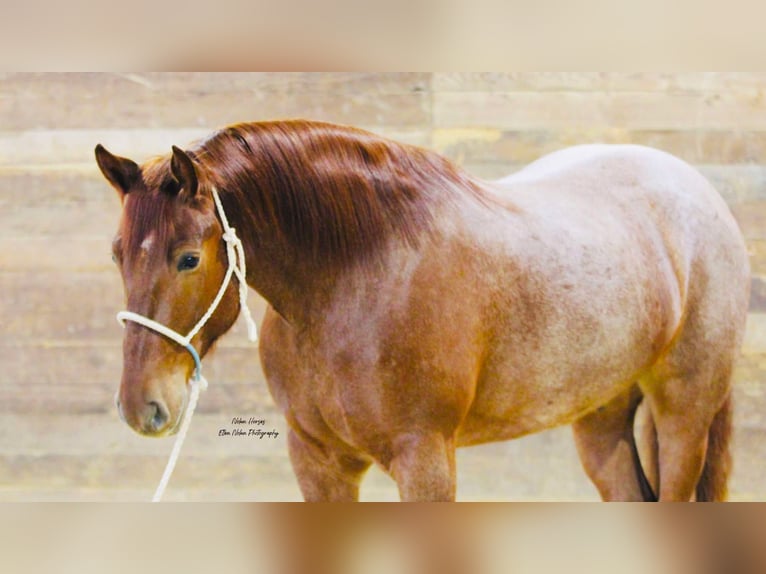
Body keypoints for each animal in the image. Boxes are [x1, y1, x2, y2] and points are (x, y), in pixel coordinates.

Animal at [94, 121, 752, 504]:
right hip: (600, 417)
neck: (354, 277)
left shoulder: (426, 459)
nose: (141, 407)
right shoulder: (318, 462)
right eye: (118, 253)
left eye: (187, 258)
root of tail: (699, 191)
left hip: (684, 413)